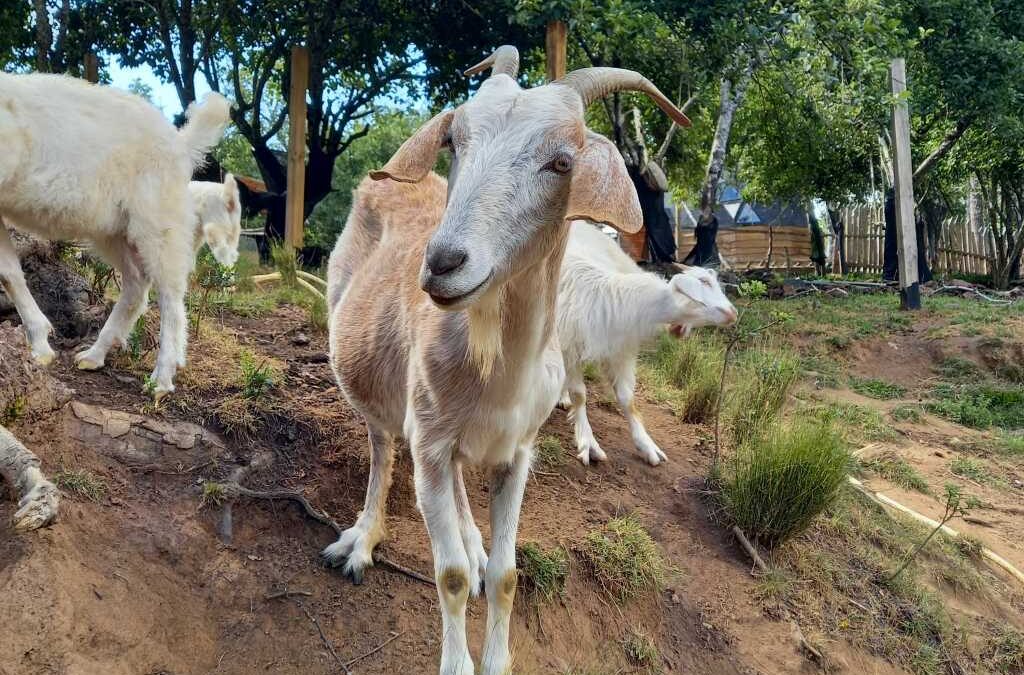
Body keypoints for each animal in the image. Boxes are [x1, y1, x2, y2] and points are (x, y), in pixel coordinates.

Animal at [0, 73, 230, 397]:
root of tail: (181, 143)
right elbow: (9, 272)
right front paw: (41, 347)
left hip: (158, 221)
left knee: (171, 295)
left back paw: (161, 379)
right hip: (113, 230)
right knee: (137, 284)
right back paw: (95, 355)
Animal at [324, 46, 690, 675]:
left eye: (562, 161)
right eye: (454, 140)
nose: (443, 263)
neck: (494, 374)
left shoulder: (517, 452)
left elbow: (507, 575)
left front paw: (494, 648)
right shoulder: (429, 444)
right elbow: (446, 575)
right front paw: (457, 659)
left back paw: (470, 539)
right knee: (380, 447)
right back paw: (363, 540)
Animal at [557, 220, 737, 466]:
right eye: (704, 282)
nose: (732, 313)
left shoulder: (619, 352)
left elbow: (627, 399)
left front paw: (647, 446)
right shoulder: (571, 348)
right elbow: (579, 395)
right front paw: (588, 443)